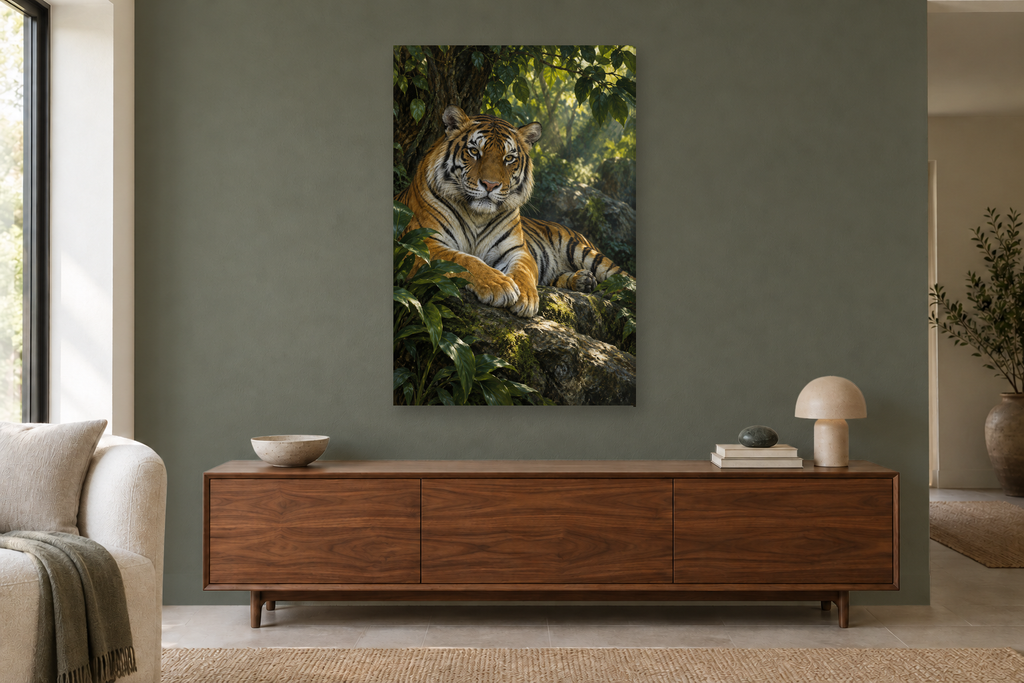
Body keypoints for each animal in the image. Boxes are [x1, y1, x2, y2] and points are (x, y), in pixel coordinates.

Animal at [396, 105, 630, 318]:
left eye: (509, 158)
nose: (490, 185)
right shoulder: (420, 242)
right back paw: (583, 281)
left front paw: (526, 298)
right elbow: (465, 260)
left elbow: (523, 271)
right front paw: (498, 285)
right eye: (474, 152)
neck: (477, 216)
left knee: (625, 280)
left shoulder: (518, 250)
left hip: (585, 252)